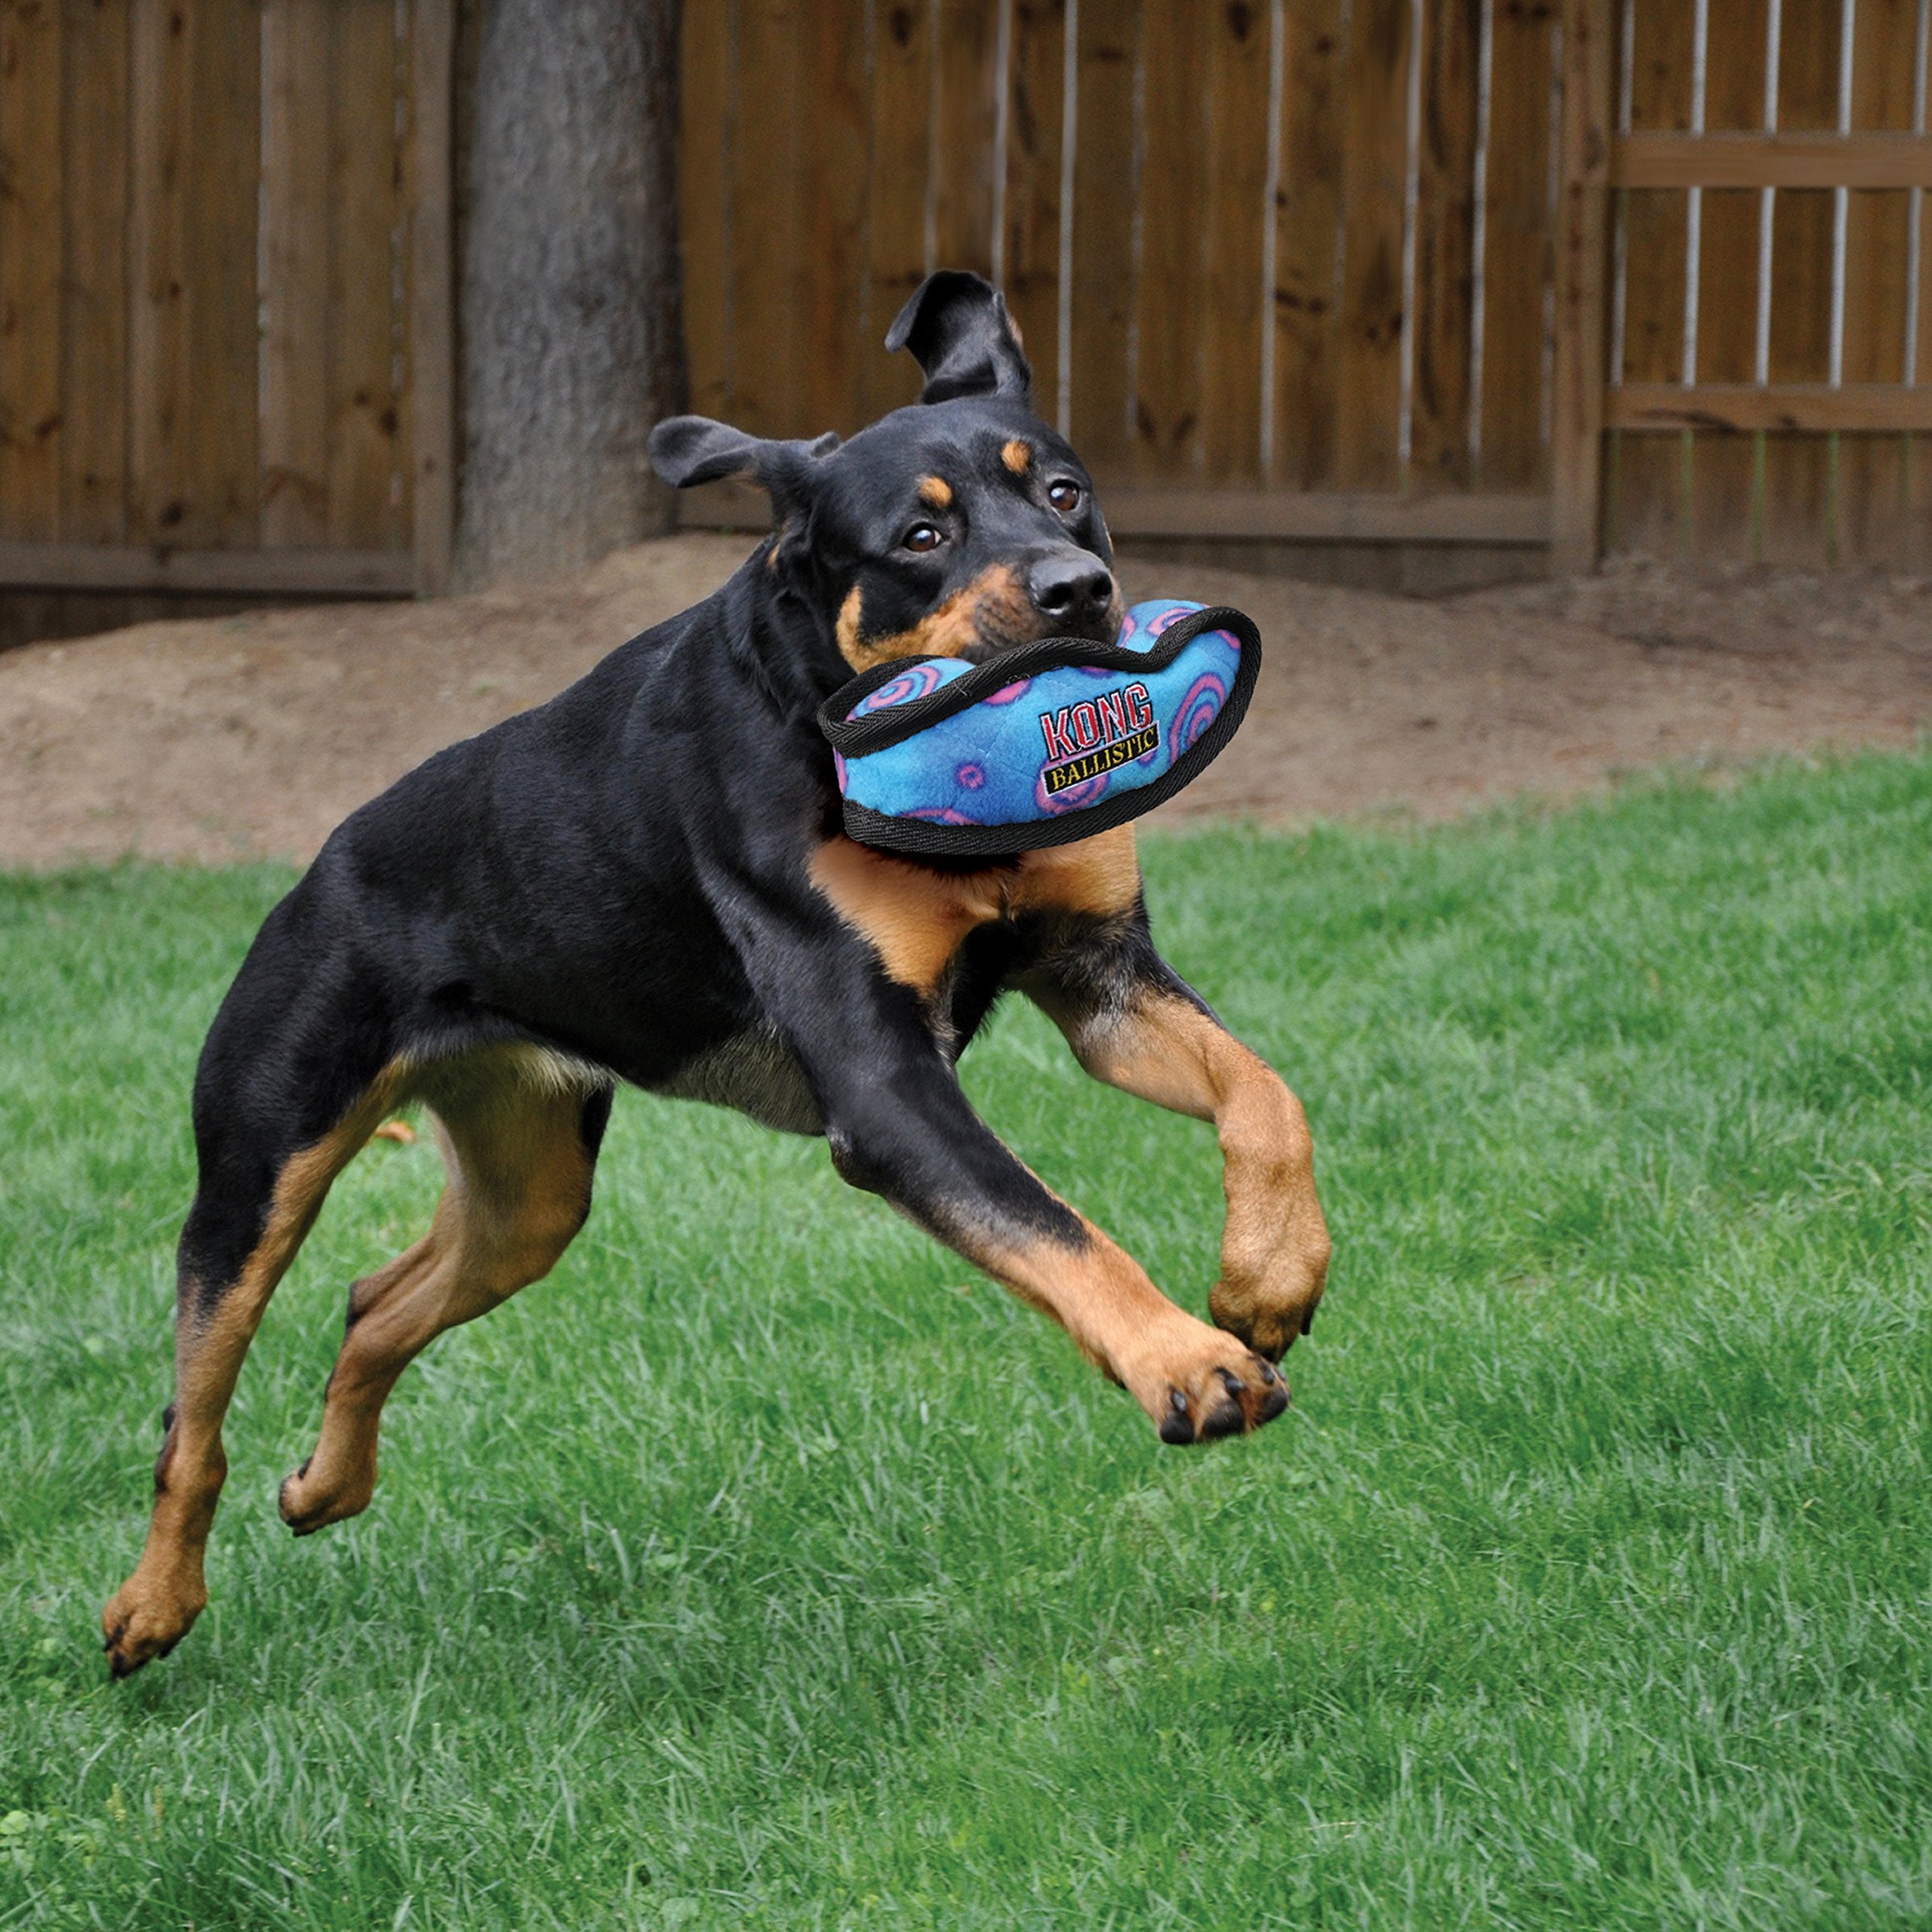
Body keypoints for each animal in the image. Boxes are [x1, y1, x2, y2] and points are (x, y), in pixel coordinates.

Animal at [102, 268, 1329, 1677]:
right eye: (921, 535)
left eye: (1065, 491)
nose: (1080, 589)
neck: (831, 715)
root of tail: (316, 869)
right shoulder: (887, 1092)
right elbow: (1058, 1224)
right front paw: (1190, 1361)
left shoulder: (1098, 978)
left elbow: (1267, 1095)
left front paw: (1267, 1282)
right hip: (260, 1173)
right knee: (191, 1419)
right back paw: (150, 1606)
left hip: (530, 1192)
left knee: (373, 1302)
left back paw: (324, 1486)